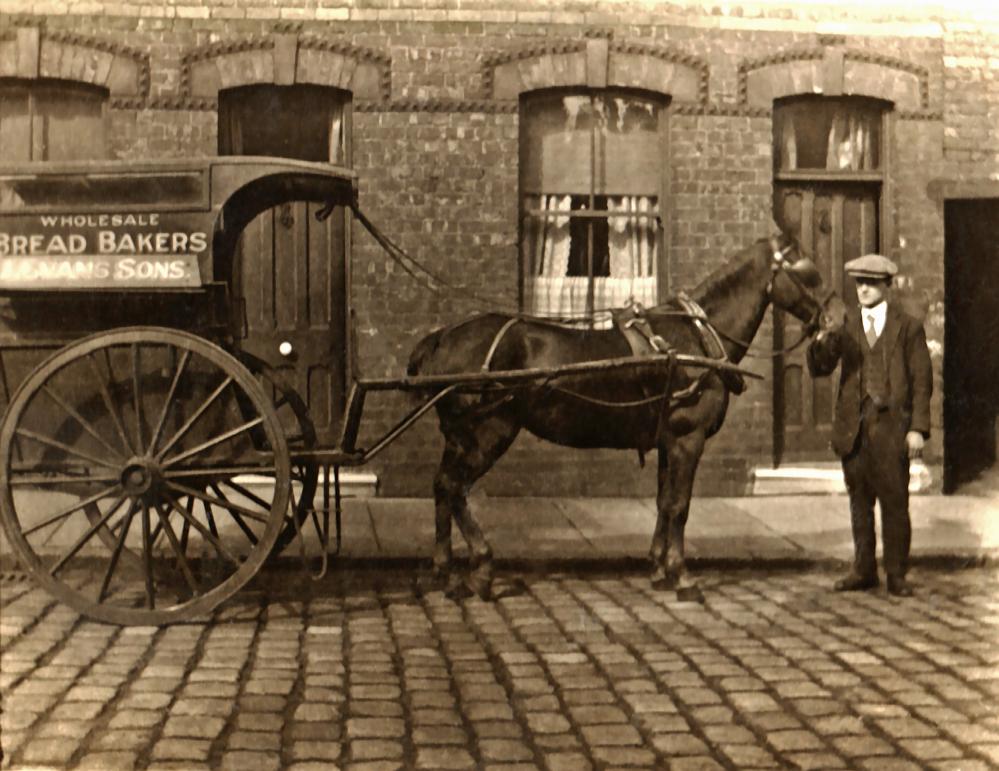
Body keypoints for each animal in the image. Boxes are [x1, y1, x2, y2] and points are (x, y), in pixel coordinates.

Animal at [406, 235, 844, 604]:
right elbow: (680, 506)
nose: (837, 322)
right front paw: (682, 575)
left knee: (441, 487)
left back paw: (444, 573)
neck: (694, 340)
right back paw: (481, 567)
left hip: (459, 436)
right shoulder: (688, 438)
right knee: (455, 487)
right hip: (489, 432)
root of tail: (443, 337)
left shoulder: (669, 441)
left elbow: (664, 502)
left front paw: (658, 567)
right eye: (808, 271)